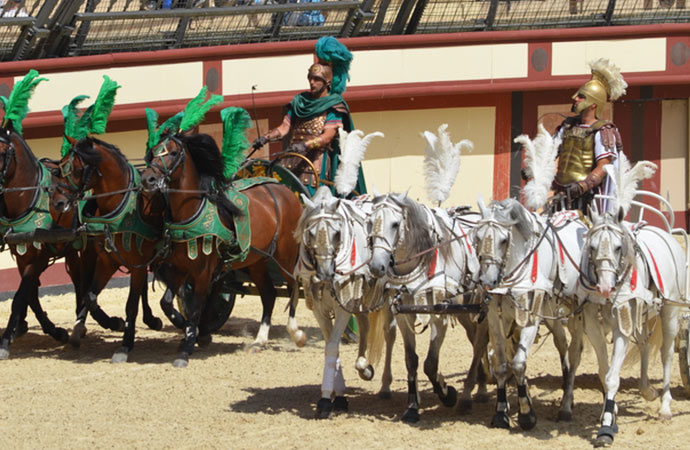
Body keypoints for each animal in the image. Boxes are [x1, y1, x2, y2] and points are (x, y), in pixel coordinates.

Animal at [51, 136, 164, 362]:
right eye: (60, 168)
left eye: (76, 169)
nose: (58, 202)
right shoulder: (108, 261)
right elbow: (90, 296)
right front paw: (110, 323)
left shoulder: (138, 263)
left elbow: (131, 304)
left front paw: (125, 344)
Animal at [140, 132, 304, 368]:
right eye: (153, 152)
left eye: (173, 152)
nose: (148, 179)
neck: (192, 212)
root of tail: (285, 191)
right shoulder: (180, 269)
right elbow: (167, 303)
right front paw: (188, 329)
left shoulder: (203, 273)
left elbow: (197, 307)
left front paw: (188, 344)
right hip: (257, 262)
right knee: (269, 295)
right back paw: (259, 340)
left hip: (286, 255)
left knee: (293, 287)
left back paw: (296, 333)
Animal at [292, 186, 396, 418]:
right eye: (310, 233)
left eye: (337, 233)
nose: (324, 273)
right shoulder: (320, 308)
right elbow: (332, 345)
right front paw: (338, 394)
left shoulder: (343, 306)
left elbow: (332, 347)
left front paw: (325, 399)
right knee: (365, 326)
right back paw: (363, 366)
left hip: (386, 299)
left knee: (389, 334)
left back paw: (385, 385)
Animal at [366, 192, 478, 422]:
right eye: (371, 222)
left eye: (395, 224)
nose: (376, 266)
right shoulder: (403, 316)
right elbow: (411, 360)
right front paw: (412, 407)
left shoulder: (440, 314)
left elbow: (430, 363)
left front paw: (447, 393)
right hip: (464, 311)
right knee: (477, 339)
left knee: (483, 342)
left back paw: (469, 395)